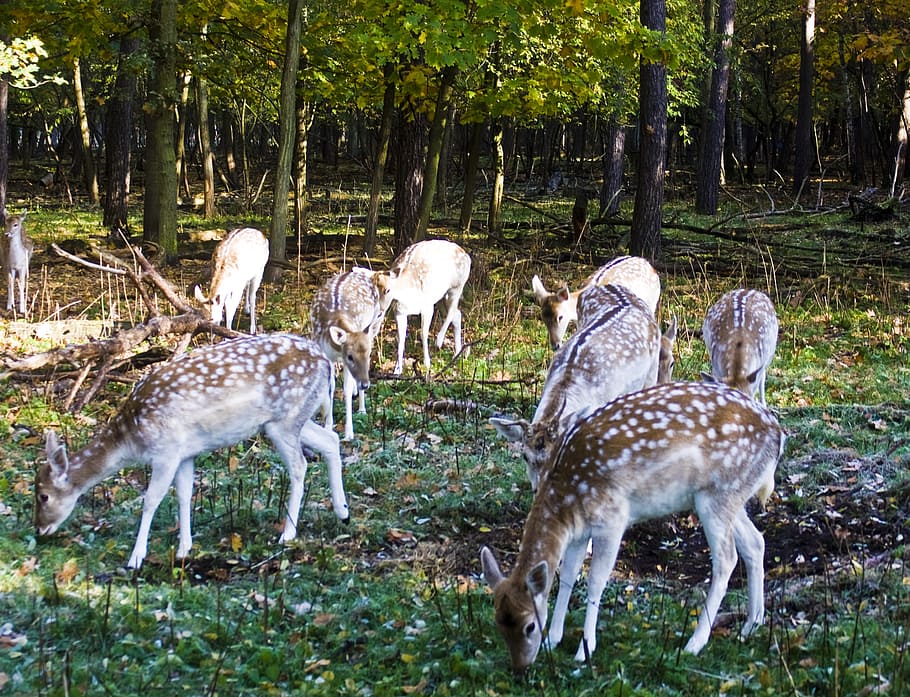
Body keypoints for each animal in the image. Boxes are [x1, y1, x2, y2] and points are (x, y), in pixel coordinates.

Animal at [34, 333, 350, 569]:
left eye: (44, 495)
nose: (39, 529)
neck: (132, 438)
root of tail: (325, 362)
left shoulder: (166, 450)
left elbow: (150, 500)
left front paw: (136, 558)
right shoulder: (186, 453)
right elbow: (184, 495)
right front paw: (184, 548)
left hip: (284, 420)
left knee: (300, 466)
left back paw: (288, 533)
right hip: (291, 419)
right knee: (330, 440)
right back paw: (342, 511)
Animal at [310, 268, 383, 440]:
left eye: (369, 354)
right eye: (350, 356)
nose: (366, 384)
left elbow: (347, 389)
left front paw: (349, 433)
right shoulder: (326, 354)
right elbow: (330, 386)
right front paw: (328, 427)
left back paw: (362, 408)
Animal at [372, 239, 471, 375]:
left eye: (388, 290)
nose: (379, 311)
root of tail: (467, 256)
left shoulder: (427, 307)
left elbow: (423, 333)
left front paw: (427, 364)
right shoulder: (399, 311)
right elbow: (400, 338)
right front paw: (397, 370)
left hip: (456, 287)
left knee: (453, 311)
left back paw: (439, 341)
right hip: (441, 298)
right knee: (457, 314)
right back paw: (457, 354)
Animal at [481, 381, 786, 673]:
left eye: (529, 625)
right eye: (497, 622)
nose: (520, 667)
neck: (567, 499)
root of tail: (778, 435)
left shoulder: (612, 518)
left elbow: (595, 580)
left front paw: (585, 649)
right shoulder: (579, 532)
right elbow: (567, 574)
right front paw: (553, 640)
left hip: (718, 494)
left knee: (727, 558)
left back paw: (694, 643)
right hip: (729, 496)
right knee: (755, 542)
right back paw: (751, 625)